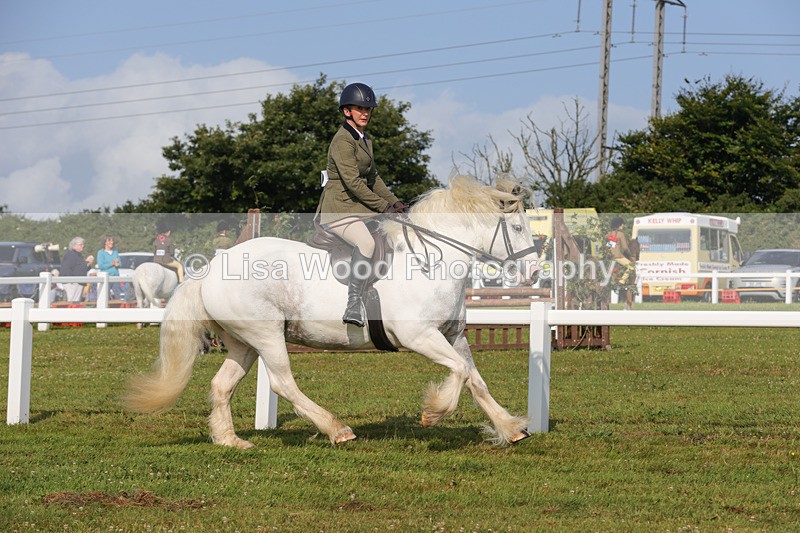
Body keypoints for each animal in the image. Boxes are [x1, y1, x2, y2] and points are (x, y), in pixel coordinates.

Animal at [124, 176, 540, 448]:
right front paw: (433, 412)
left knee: (222, 384)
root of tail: (211, 269)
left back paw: (231, 441)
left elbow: (474, 378)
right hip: (266, 334)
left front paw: (510, 428)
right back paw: (336, 430)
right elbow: (459, 372)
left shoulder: (453, 336)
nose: (535, 272)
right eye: (518, 227)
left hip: (243, 342)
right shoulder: (420, 336)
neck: (431, 261)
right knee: (282, 382)